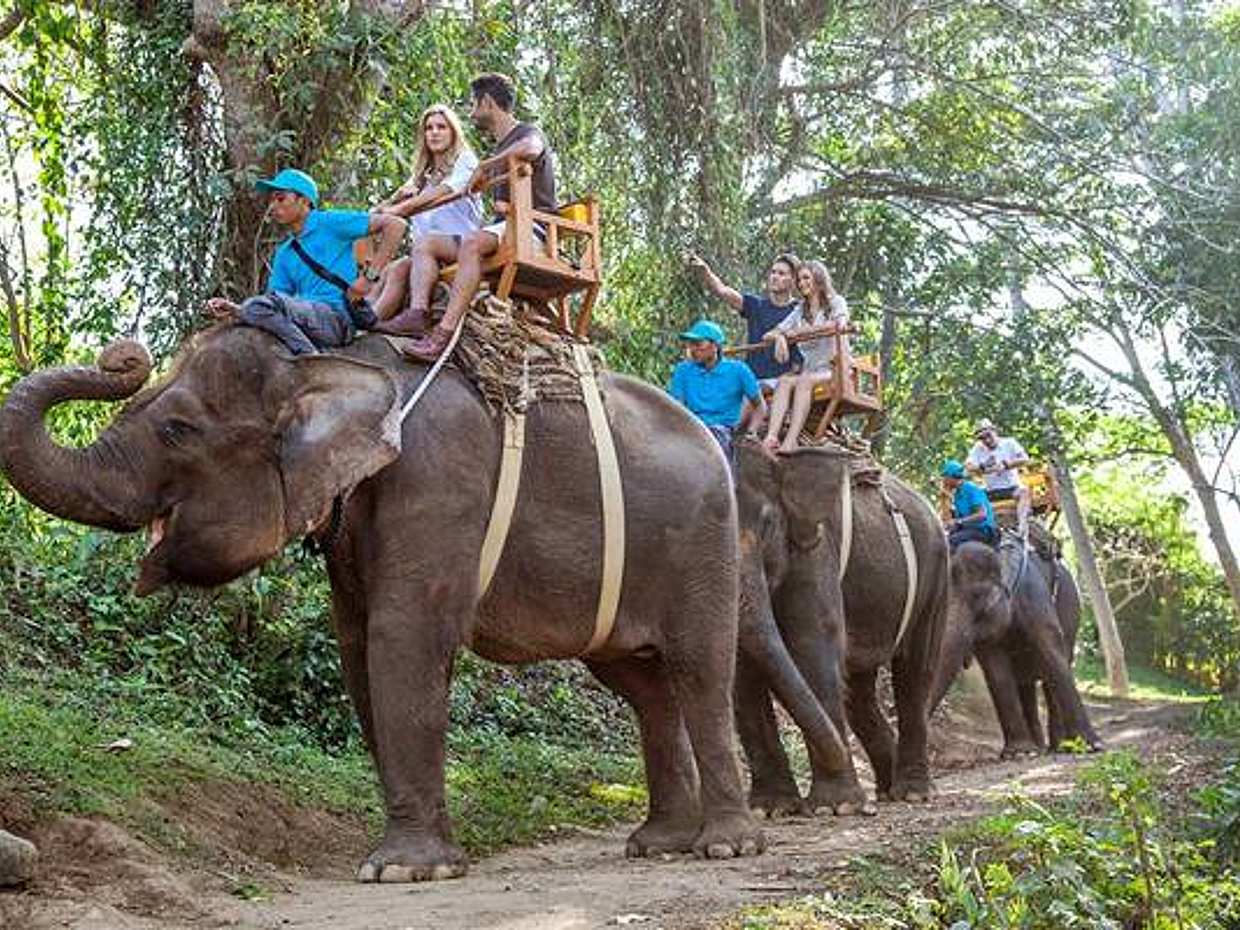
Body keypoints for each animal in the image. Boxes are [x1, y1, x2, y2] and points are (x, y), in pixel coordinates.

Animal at [0, 325, 765, 882]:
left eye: (178, 429)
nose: (123, 356)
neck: (327, 364)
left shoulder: (440, 481)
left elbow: (401, 640)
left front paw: (400, 871)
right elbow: (356, 648)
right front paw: (416, 861)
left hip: (704, 544)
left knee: (700, 671)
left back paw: (725, 847)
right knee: (643, 685)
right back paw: (658, 844)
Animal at [730, 441, 950, 815]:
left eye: (767, 524)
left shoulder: (816, 549)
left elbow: (811, 646)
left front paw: (835, 807)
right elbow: (740, 670)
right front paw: (771, 809)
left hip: (935, 573)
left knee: (915, 672)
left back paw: (912, 793)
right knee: (857, 692)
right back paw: (886, 788)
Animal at [930, 538, 1102, 757]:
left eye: (980, 603)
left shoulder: (1034, 598)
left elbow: (1053, 652)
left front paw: (1092, 746)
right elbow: (997, 672)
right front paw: (1017, 752)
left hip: (1071, 607)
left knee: (1051, 674)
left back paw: (1060, 746)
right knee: (1025, 683)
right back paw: (1037, 748)